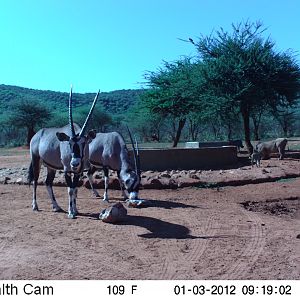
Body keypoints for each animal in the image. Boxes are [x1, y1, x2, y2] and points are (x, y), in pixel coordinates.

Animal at [28, 86, 99, 218]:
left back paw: (56, 207)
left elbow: (75, 188)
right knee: (35, 181)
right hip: (36, 161)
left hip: (51, 167)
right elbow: (70, 190)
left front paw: (75, 210)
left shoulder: (78, 171)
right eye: (69, 143)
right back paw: (35, 206)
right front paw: (71, 212)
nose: (74, 163)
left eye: (84, 143)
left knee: (48, 182)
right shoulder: (67, 169)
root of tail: (36, 135)